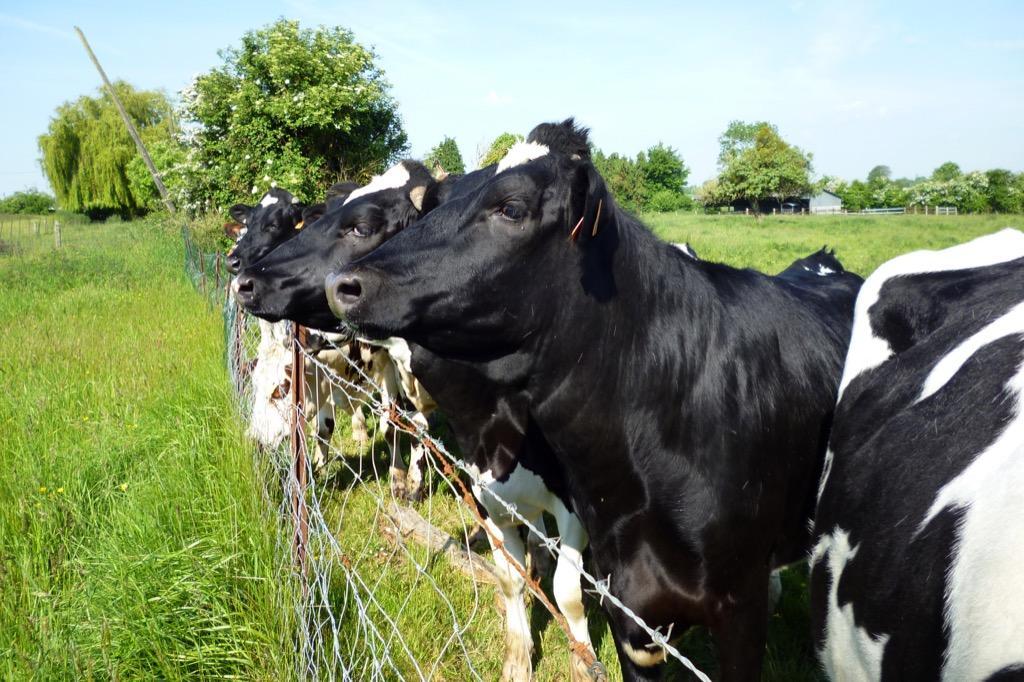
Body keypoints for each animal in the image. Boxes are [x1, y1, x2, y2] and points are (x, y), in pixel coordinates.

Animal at [326, 118, 862, 681]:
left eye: (511, 208)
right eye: (438, 204)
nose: (342, 285)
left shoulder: (737, 611)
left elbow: (564, 589)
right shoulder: (628, 610)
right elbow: (518, 575)